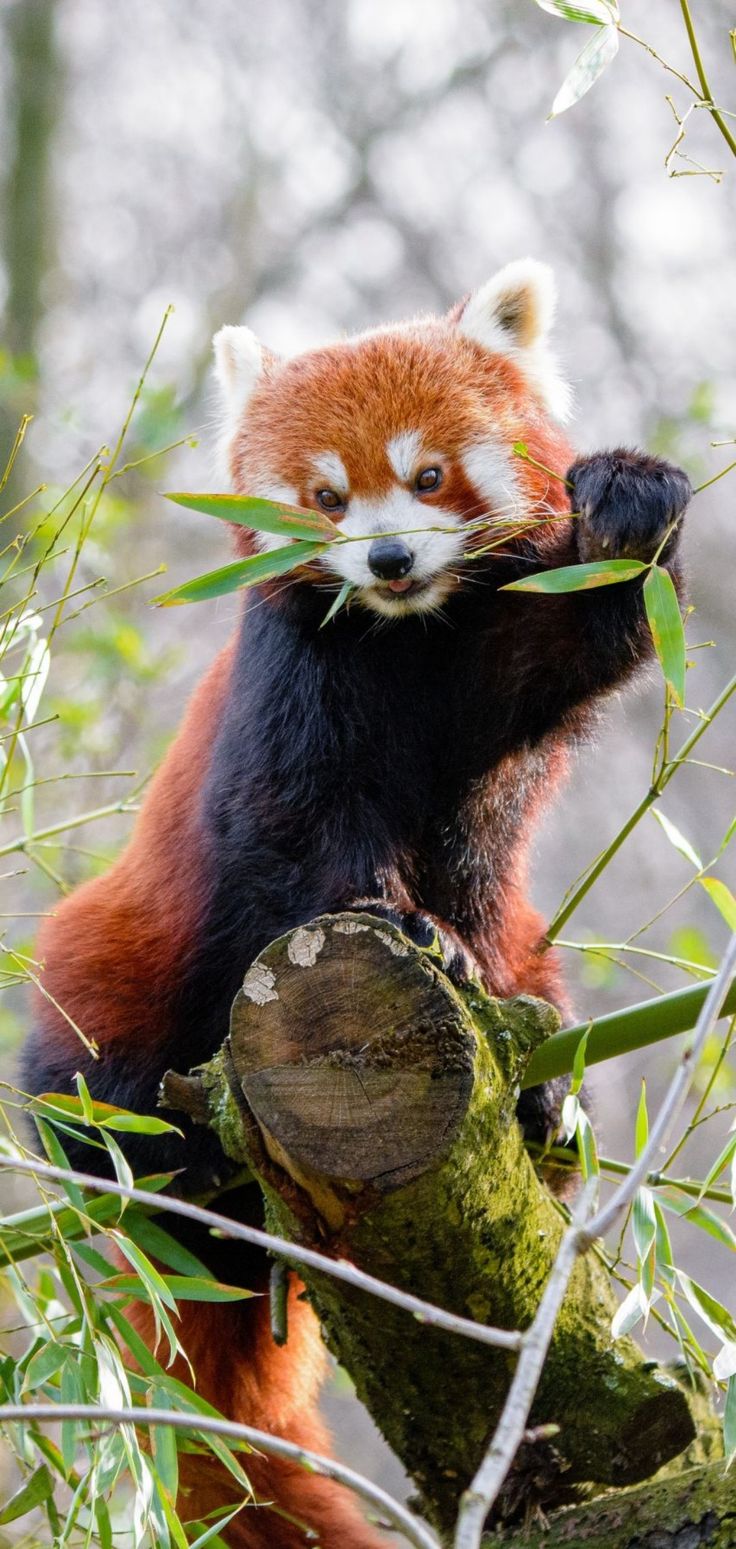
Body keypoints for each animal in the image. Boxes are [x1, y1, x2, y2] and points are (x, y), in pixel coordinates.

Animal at [21, 260, 691, 1542]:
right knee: (92, 1076)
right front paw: (398, 920)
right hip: (116, 965)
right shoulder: (294, 676)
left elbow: (575, 642)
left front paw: (629, 506)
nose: (385, 561)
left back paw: (545, 1106)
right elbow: (296, 826)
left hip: (524, 944)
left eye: (426, 476)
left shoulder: (495, 657)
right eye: (326, 497)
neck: (405, 633)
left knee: (532, 1004)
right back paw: (150, 1152)